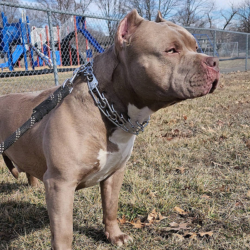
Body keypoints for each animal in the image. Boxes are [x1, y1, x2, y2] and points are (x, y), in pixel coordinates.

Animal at [0, 9, 219, 248]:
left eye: (196, 47)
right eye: (171, 50)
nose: (214, 62)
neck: (106, 109)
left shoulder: (115, 173)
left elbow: (111, 207)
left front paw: (115, 235)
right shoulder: (60, 184)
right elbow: (63, 232)